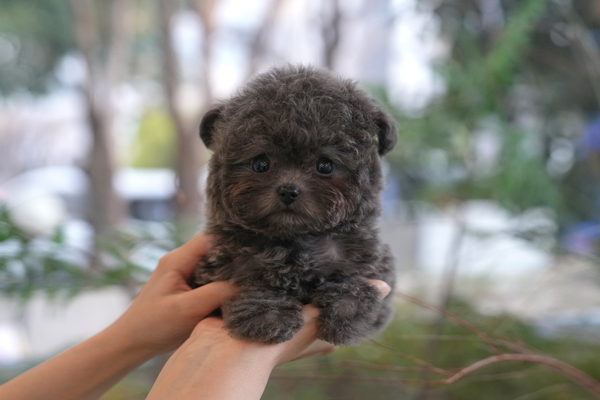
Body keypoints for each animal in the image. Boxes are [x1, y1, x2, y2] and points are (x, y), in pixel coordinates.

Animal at [193, 65, 397, 346]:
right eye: (260, 163)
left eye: (325, 166)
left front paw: (347, 309)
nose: (288, 191)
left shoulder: (374, 264)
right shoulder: (224, 266)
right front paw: (269, 317)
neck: (297, 241)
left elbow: (357, 284)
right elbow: (258, 284)